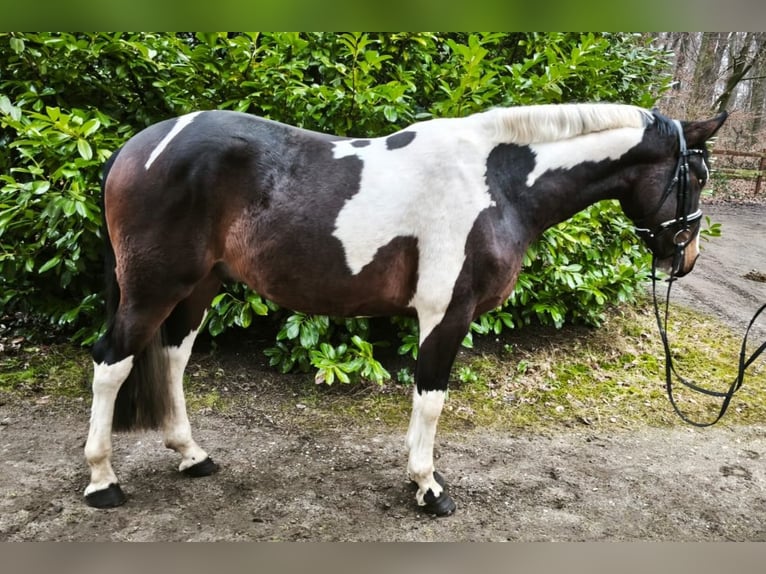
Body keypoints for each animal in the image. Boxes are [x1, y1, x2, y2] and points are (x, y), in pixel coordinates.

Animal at [84, 102, 728, 516]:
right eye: (696, 174)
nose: (687, 257)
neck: (497, 183)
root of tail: (136, 148)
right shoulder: (447, 313)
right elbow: (431, 399)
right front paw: (429, 488)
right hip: (152, 288)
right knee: (111, 365)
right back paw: (102, 482)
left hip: (196, 289)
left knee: (171, 358)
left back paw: (192, 457)